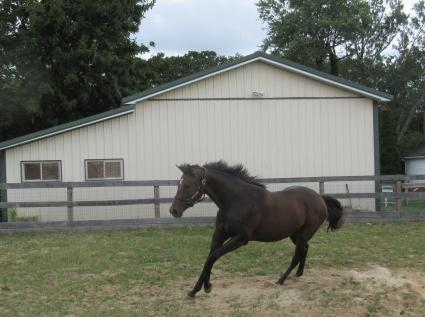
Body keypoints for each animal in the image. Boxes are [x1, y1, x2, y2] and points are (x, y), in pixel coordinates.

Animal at [168, 162, 342, 298]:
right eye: (178, 185)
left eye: (187, 186)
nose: (173, 211)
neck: (236, 201)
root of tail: (320, 198)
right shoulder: (220, 234)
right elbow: (209, 257)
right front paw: (196, 290)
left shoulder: (241, 238)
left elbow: (213, 256)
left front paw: (206, 287)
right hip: (296, 234)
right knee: (304, 249)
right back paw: (298, 274)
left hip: (302, 235)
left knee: (297, 255)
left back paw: (281, 280)